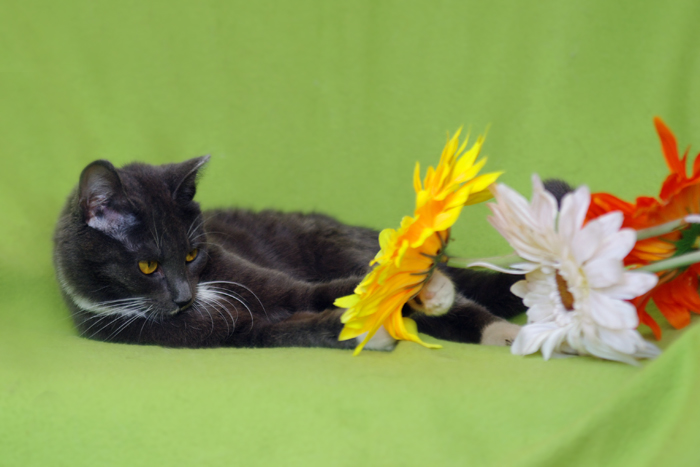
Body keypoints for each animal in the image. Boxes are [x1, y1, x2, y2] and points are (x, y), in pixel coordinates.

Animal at [53, 156, 566, 351]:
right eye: (148, 265)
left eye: (194, 254)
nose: (183, 297)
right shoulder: (239, 334)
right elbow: (290, 329)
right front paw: (367, 333)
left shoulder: (259, 277)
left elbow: (322, 291)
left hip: (335, 244)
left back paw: (493, 327)